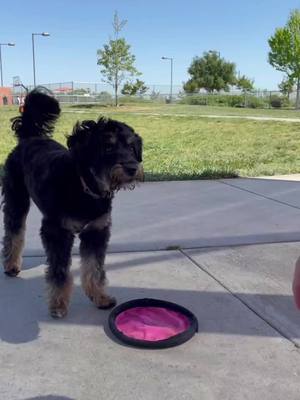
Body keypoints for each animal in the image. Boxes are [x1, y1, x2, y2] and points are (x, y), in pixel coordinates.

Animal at [1, 88, 143, 318]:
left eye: (132, 147)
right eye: (107, 147)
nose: (132, 167)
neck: (84, 188)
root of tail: (30, 138)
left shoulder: (96, 231)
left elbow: (94, 268)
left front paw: (100, 297)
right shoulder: (57, 232)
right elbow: (59, 272)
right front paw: (58, 304)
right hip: (17, 200)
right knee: (13, 233)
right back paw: (11, 264)